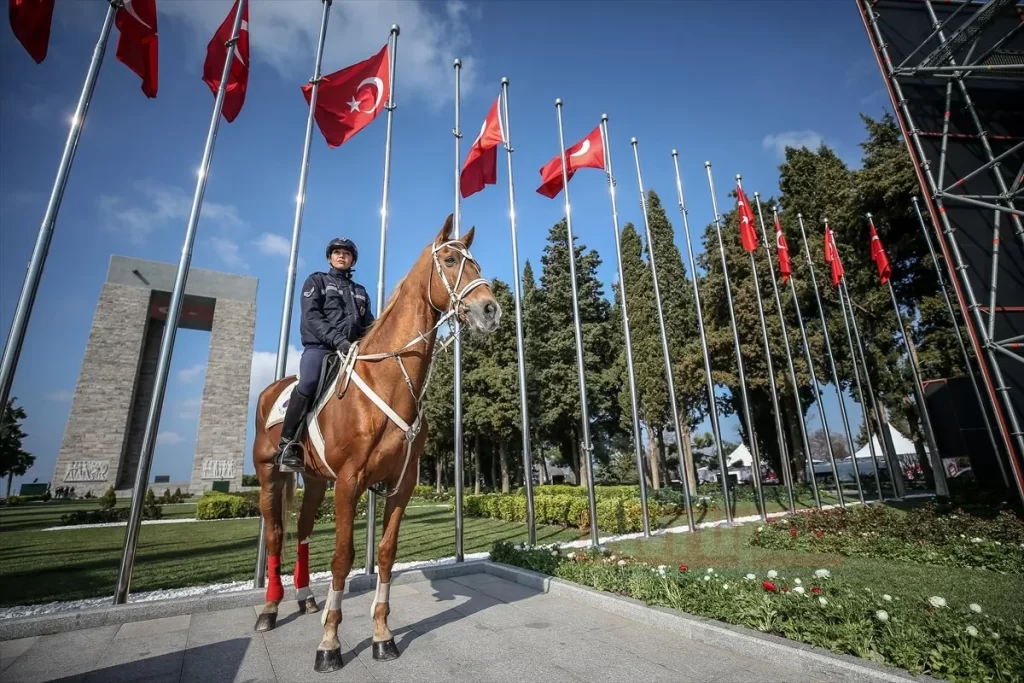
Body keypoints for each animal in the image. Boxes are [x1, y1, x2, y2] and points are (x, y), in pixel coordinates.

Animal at [251, 218, 499, 671]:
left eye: (476, 262)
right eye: (450, 259)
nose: (490, 309)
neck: (387, 379)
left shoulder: (401, 487)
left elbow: (385, 554)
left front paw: (383, 635)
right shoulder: (350, 483)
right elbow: (342, 558)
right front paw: (329, 643)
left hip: (316, 480)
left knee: (303, 530)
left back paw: (305, 597)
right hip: (269, 475)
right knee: (276, 535)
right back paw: (271, 609)